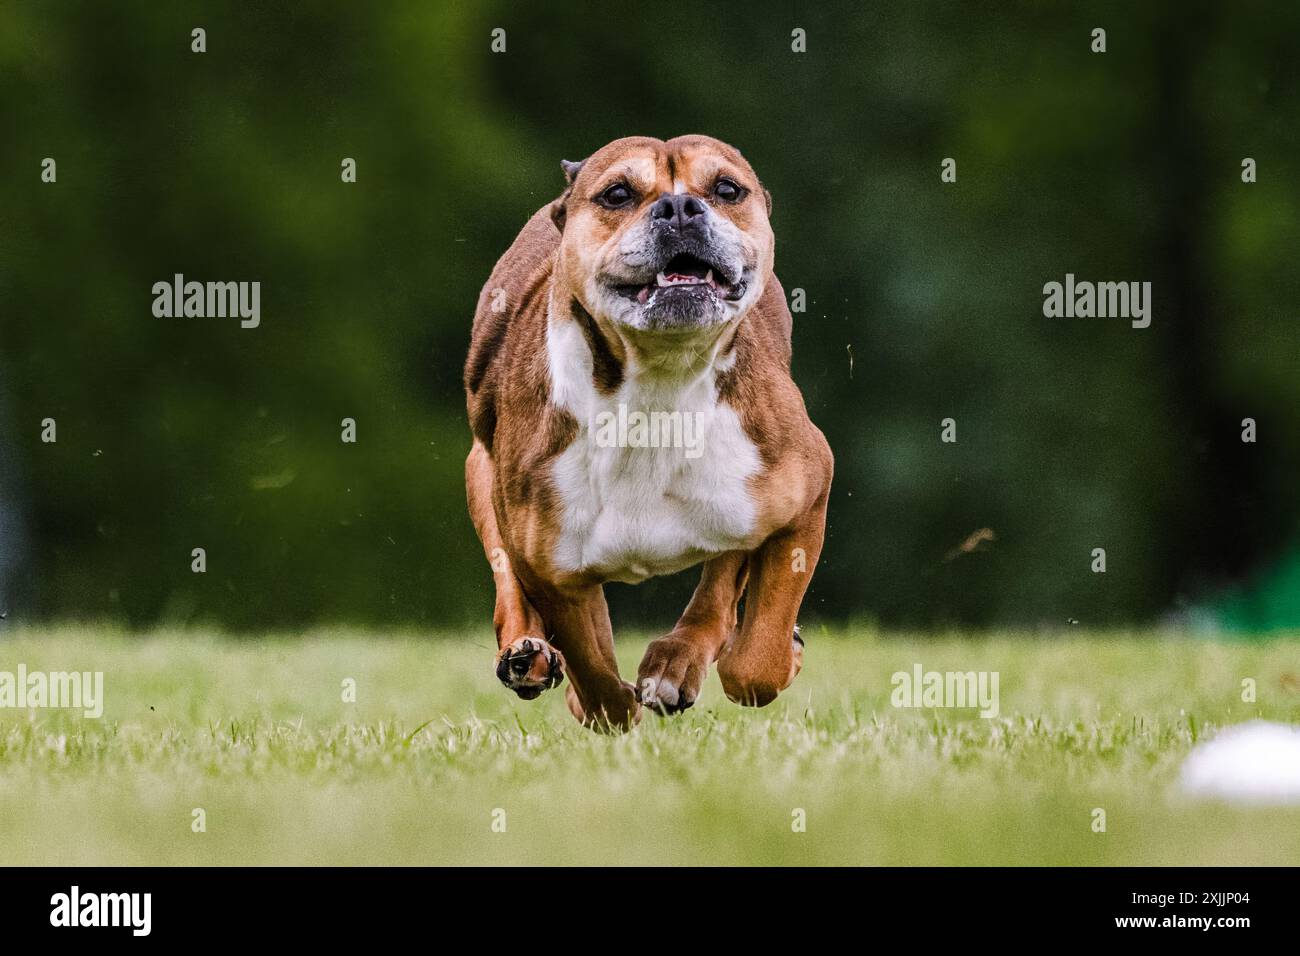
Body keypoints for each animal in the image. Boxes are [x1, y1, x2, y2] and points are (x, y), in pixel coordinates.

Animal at [467, 136, 832, 733]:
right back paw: (528, 655)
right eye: (617, 194)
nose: (680, 207)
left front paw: (773, 653)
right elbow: (593, 668)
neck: (660, 381)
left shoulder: (803, 496)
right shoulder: (552, 566)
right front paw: (605, 702)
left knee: (721, 589)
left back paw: (674, 665)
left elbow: (757, 657)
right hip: (483, 476)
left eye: (727, 188)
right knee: (511, 585)